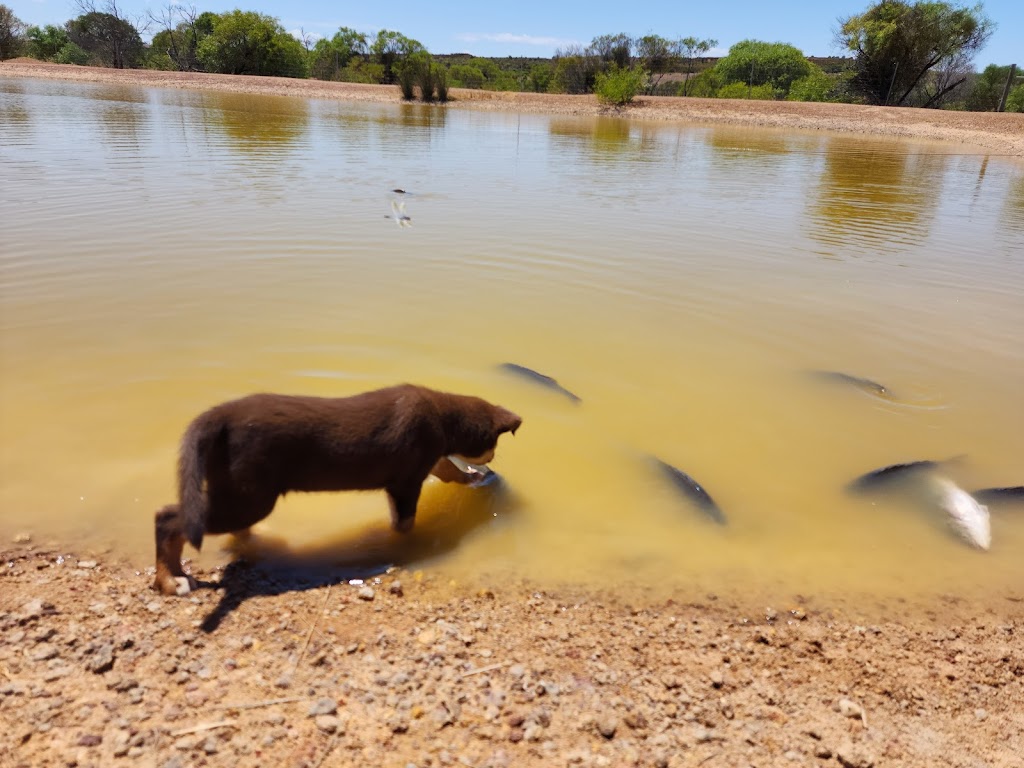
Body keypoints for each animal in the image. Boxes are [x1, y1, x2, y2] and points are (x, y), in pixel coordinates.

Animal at [151, 387, 520, 598]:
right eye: (492, 443)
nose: (492, 459)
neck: (443, 416)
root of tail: (219, 416)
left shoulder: (422, 465)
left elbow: (447, 469)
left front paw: (474, 478)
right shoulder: (405, 482)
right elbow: (404, 523)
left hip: (240, 492)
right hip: (249, 497)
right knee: (167, 518)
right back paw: (170, 581)